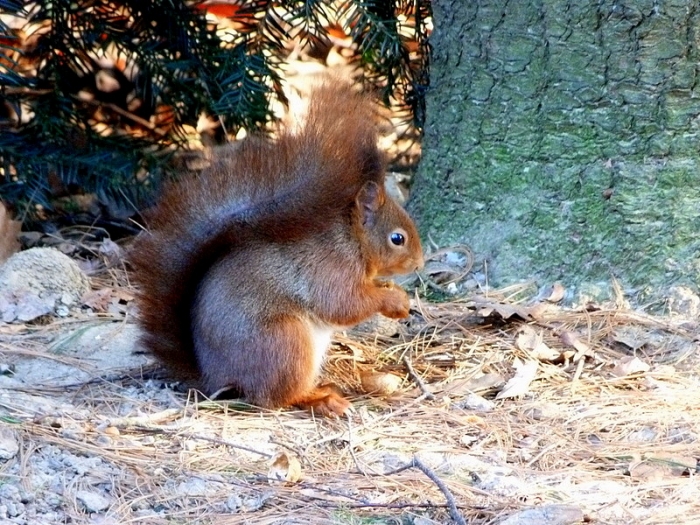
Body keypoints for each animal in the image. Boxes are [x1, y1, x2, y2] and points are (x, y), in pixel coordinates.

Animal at [130, 81, 424, 417]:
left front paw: (395, 292)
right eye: (397, 239)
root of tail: (213, 377)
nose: (420, 264)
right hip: (284, 344)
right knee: (275, 398)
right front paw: (393, 300)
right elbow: (344, 304)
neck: (352, 239)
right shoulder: (330, 268)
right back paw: (321, 399)